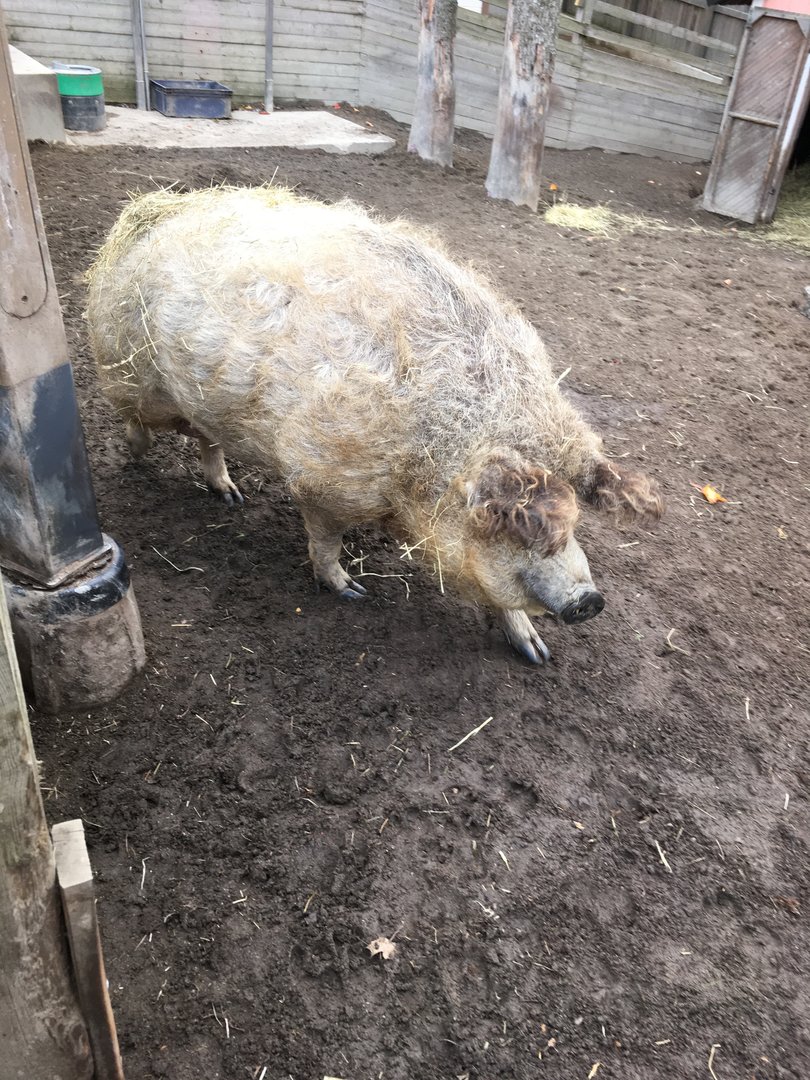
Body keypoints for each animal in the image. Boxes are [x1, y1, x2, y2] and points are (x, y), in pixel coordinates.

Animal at [86, 186, 662, 663]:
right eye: (514, 525)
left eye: (572, 523)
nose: (589, 600)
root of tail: (153, 214)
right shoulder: (322, 479)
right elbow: (325, 543)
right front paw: (352, 592)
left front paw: (537, 653)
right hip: (131, 368)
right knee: (134, 415)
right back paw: (135, 456)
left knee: (207, 438)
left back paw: (230, 496)